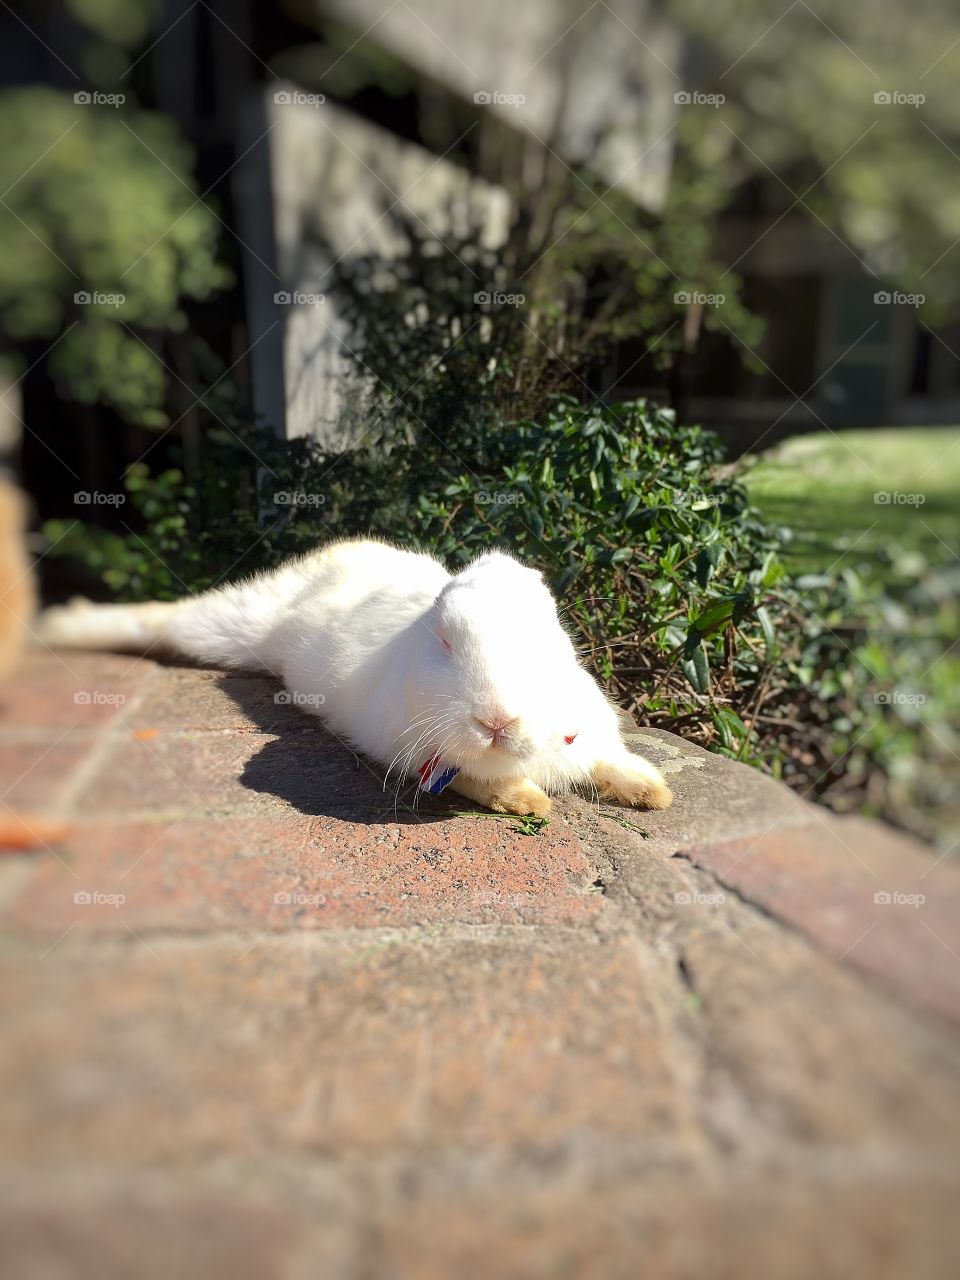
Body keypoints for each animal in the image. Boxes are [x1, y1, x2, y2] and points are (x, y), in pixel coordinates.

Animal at [39, 535, 675, 814]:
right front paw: (527, 802)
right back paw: (61, 627)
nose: (495, 718)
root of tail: (340, 548)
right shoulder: (409, 753)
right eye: (445, 640)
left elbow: (608, 758)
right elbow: (478, 783)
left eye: (548, 635)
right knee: (161, 619)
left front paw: (652, 791)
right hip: (230, 625)